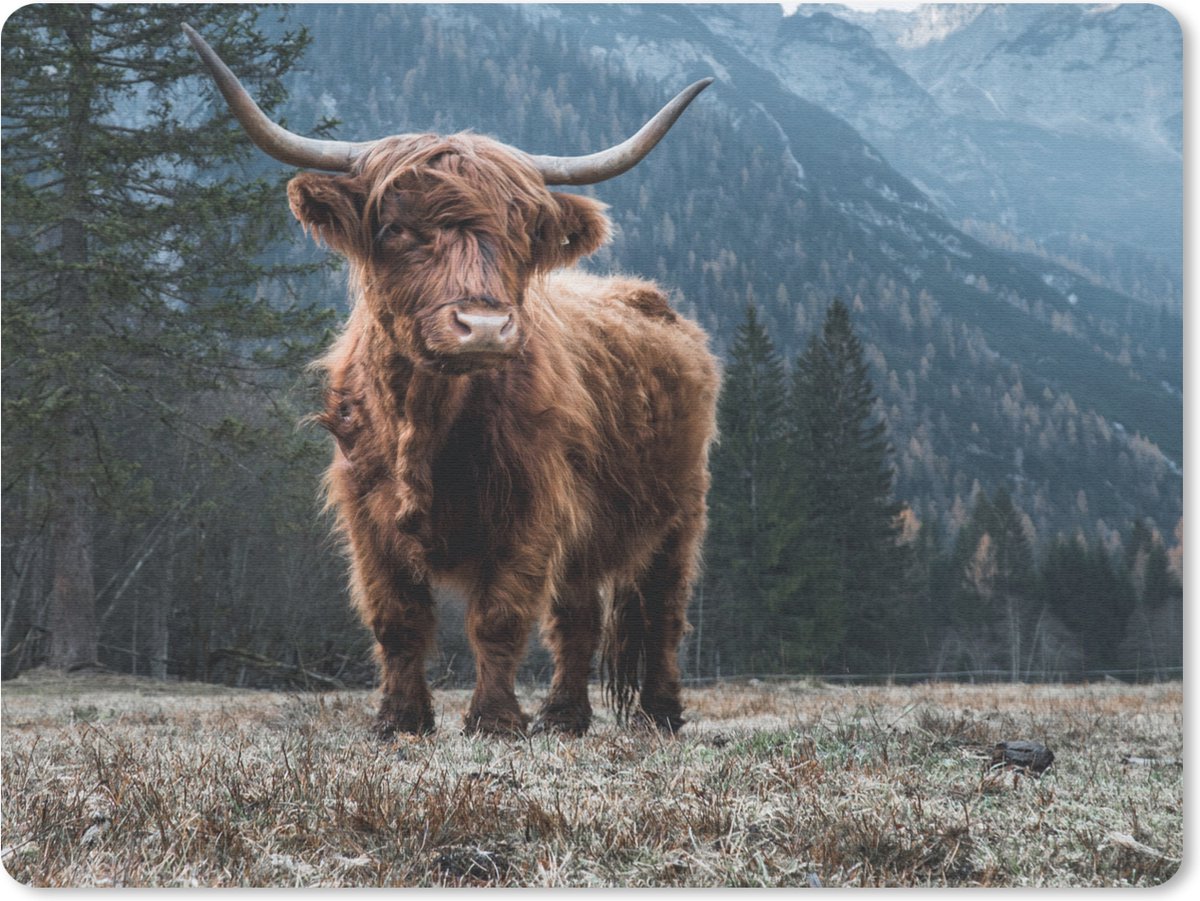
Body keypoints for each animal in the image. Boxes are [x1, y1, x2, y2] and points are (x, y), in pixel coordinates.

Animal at [185, 25, 719, 737]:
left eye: (522, 235)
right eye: (395, 228)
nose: (485, 327)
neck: (425, 422)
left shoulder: (532, 507)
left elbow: (499, 618)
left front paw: (494, 720)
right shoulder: (366, 514)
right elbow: (397, 620)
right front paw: (400, 720)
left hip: (680, 511)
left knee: (662, 609)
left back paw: (658, 713)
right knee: (578, 616)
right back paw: (564, 716)